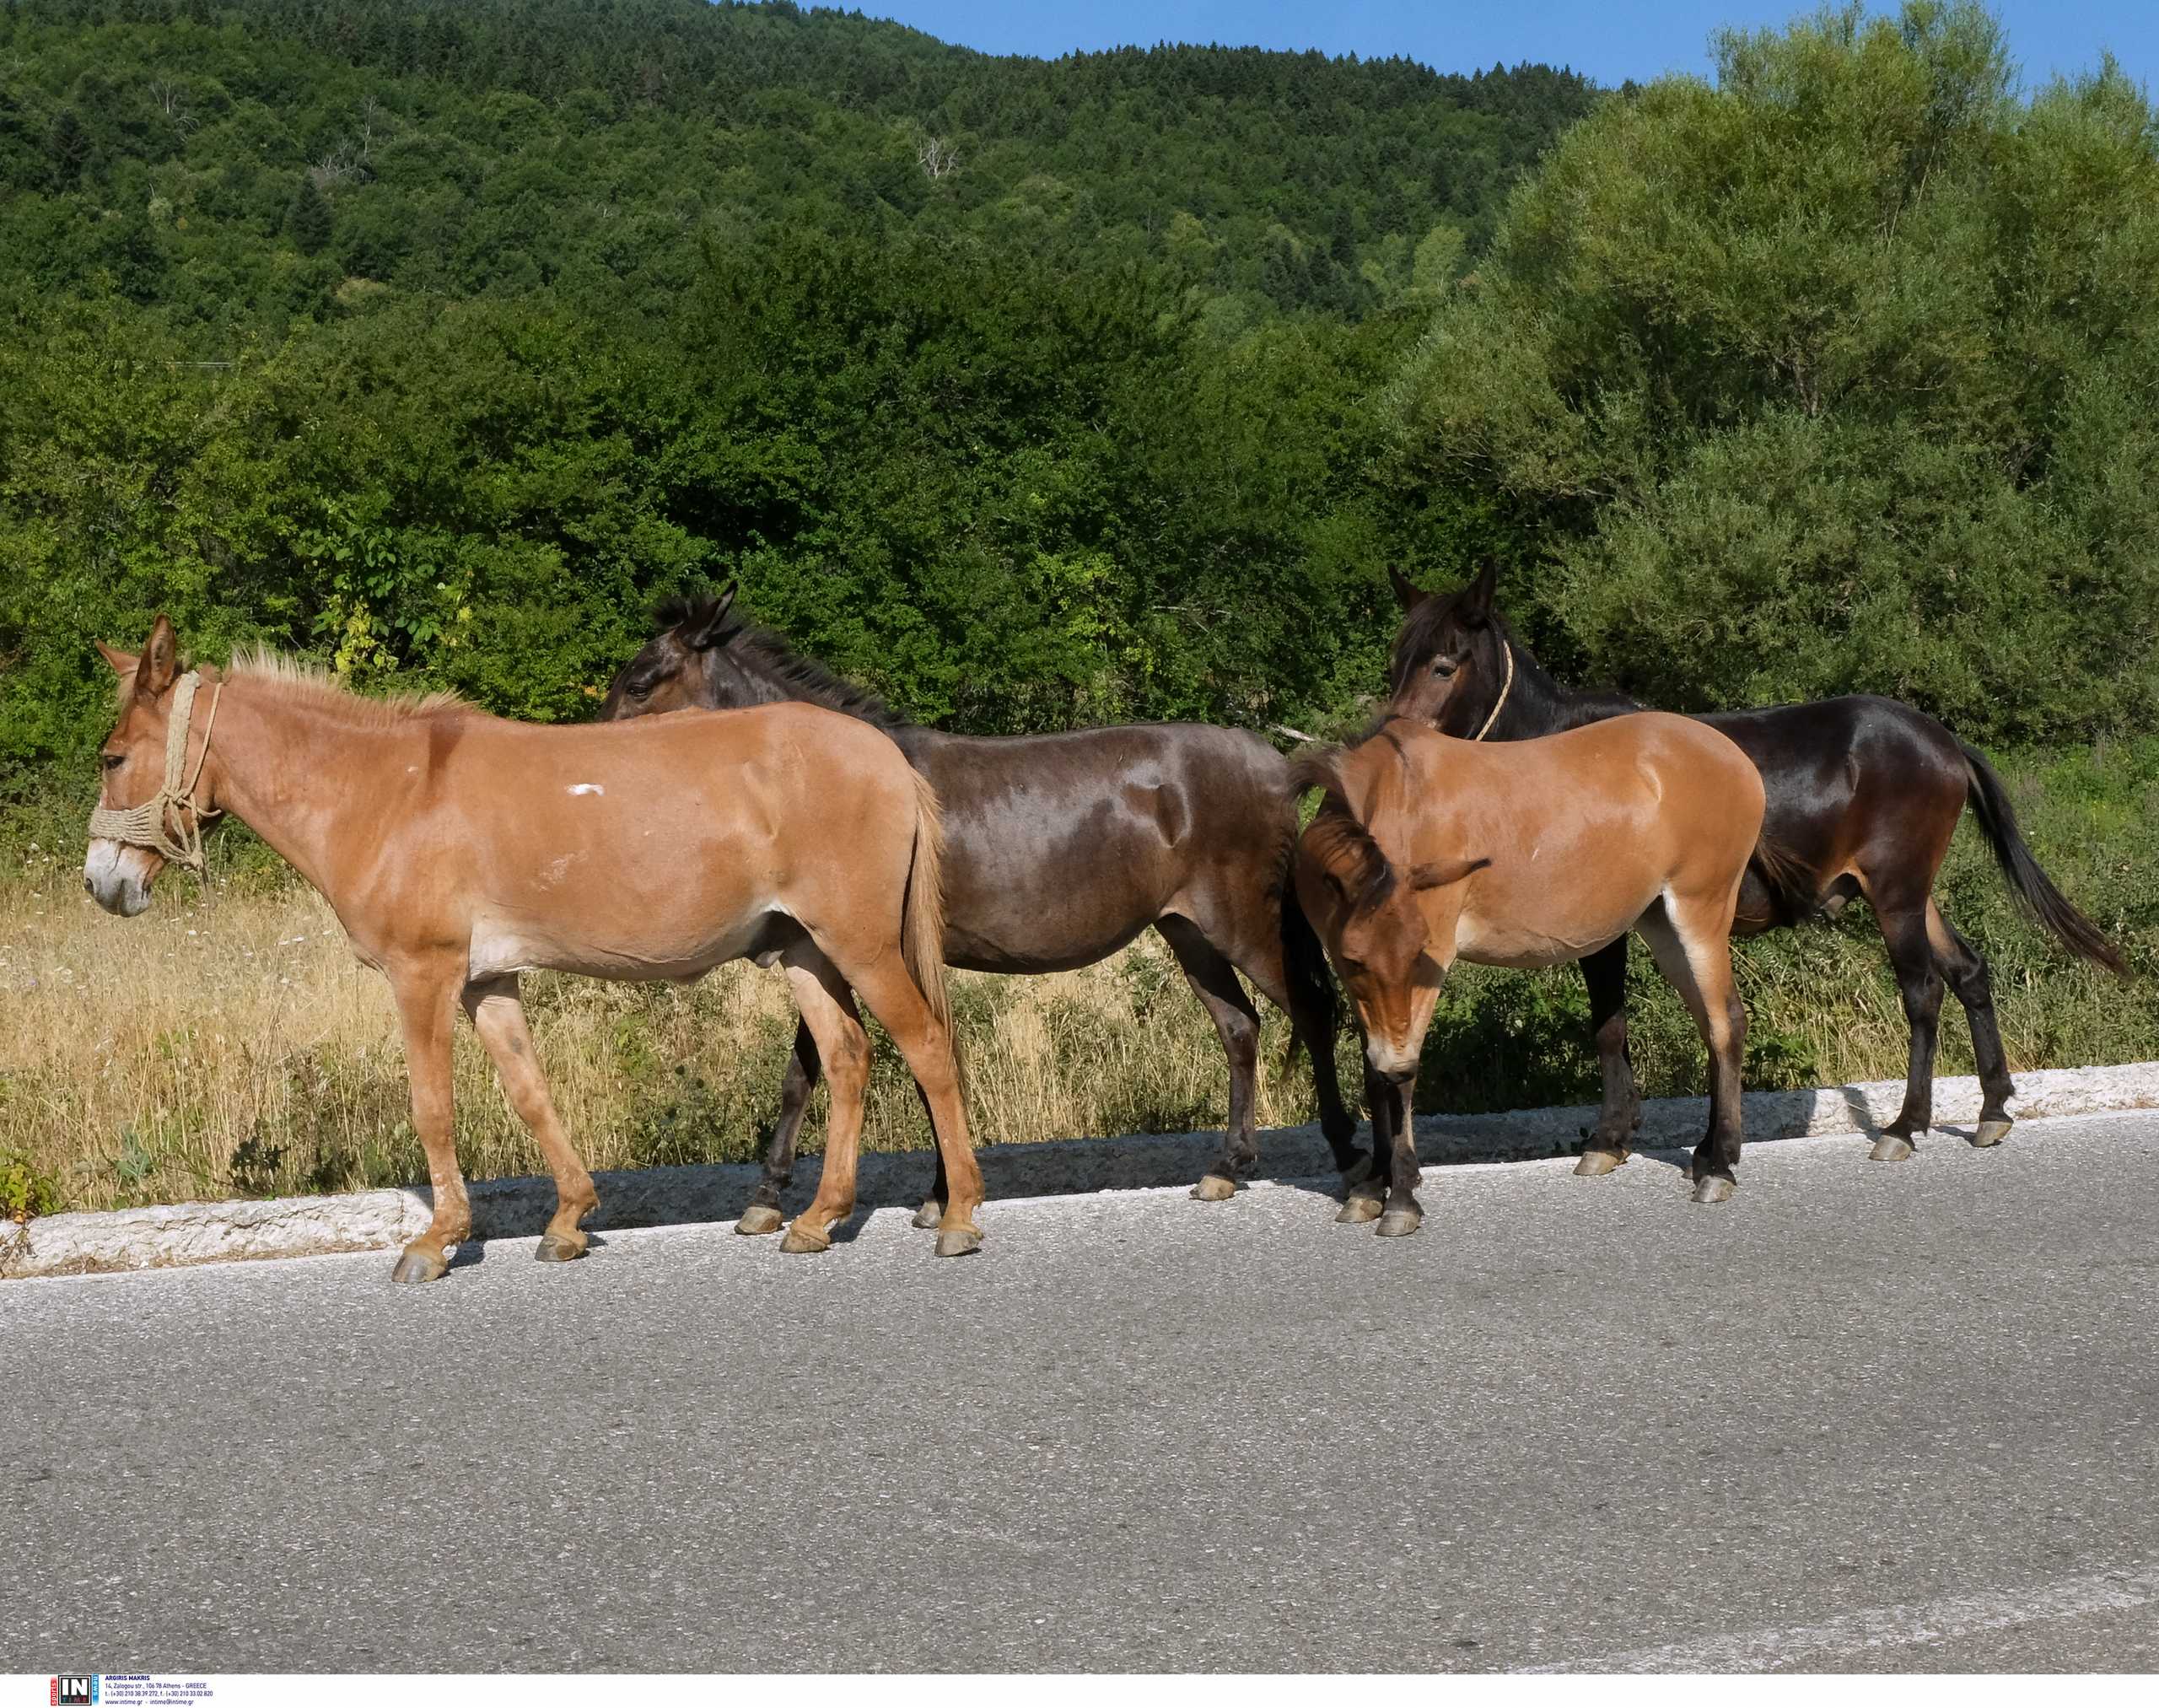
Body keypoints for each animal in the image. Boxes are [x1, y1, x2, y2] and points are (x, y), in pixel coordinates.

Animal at [600, 583, 1355, 1226]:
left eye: (639, 682)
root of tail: (1277, 765)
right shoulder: (832, 950)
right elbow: (809, 1069)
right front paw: (776, 1199)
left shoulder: (867, 949)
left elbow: (899, 1060)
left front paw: (937, 1196)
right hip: (1188, 930)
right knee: (1239, 1027)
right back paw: (1228, 1165)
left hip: (1244, 922)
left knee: (1312, 1011)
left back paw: (1353, 1160)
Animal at [1381, 565, 2124, 1166]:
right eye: (1398, 660)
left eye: (1445, 664)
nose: (1392, 744)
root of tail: (1941, 738)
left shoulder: (1602, 923)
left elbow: (1610, 1026)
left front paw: (1612, 1138)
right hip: (1914, 890)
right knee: (1968, 971)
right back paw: (1994, 1107)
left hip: (1896, 894)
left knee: (1923, 992)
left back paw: (1905, 1126)